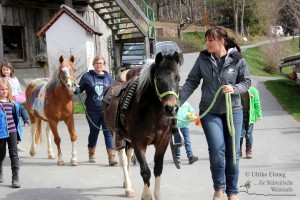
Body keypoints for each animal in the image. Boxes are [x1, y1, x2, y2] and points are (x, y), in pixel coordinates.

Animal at [103, 52, 180, 199]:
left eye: (178, 78)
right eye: (158, 79)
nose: (171, 108)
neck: (153, 114)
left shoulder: (163, 142)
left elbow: (158, 169)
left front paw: (157, 195)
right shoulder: (139, 143)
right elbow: (145, 171)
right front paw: (146, 195)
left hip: (129, 140)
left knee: (128, 156)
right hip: (116, 135)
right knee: (123, 159)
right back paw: (128, 187)